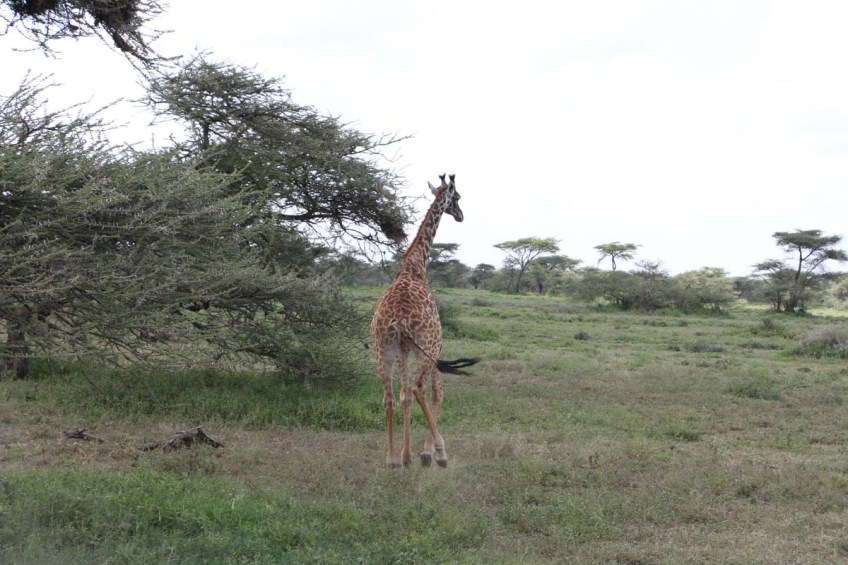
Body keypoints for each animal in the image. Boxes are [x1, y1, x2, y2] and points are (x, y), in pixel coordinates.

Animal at [370, 173, 478, 468]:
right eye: (458, 197)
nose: (461, 215)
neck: (416, 264)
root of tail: (398, 317)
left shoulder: (403, 349)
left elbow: (404, 397)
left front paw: (405, 455)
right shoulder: (432, 345)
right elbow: (434, 392)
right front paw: (426, 452)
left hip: (384, 349)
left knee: (390, 397)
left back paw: (391, 459)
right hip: (427, 347)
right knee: (422, 388)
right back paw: (438, 453)